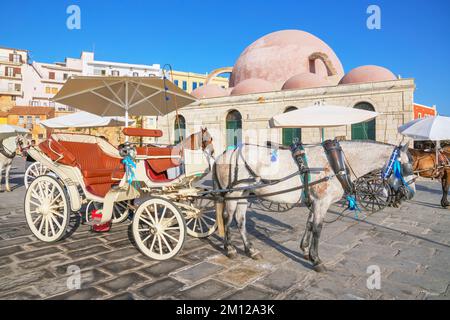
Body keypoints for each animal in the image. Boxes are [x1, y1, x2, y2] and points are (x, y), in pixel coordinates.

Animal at [213, 141, 416, 272]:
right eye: (407, 167)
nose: (411, 193)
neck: (337, 163)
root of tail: (224, 153)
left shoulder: (315, 202)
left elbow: (310, 224)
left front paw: (305, 250)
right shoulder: (322, 202)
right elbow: (318, 229)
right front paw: (316, 260)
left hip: (244, 193)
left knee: (240, 219)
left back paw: (250, 250)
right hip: (233, 193)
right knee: (227, 218)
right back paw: (230, 249)